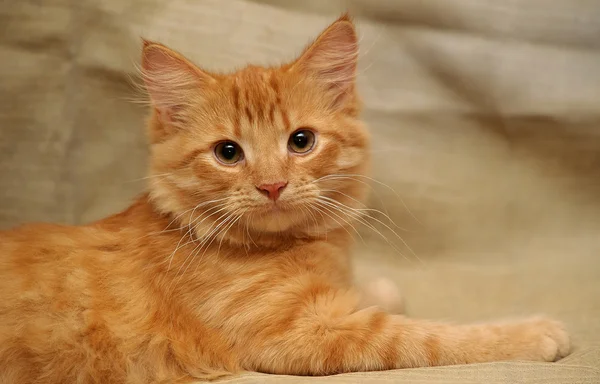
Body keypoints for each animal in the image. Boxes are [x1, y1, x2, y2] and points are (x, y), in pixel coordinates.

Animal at [0, 13, 572, 382]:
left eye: (301, 141)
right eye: (228, 152)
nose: (272, 185)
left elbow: (377, 293)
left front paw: (375, 286)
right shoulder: (296, 335)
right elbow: (426, 337)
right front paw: (532, 333)